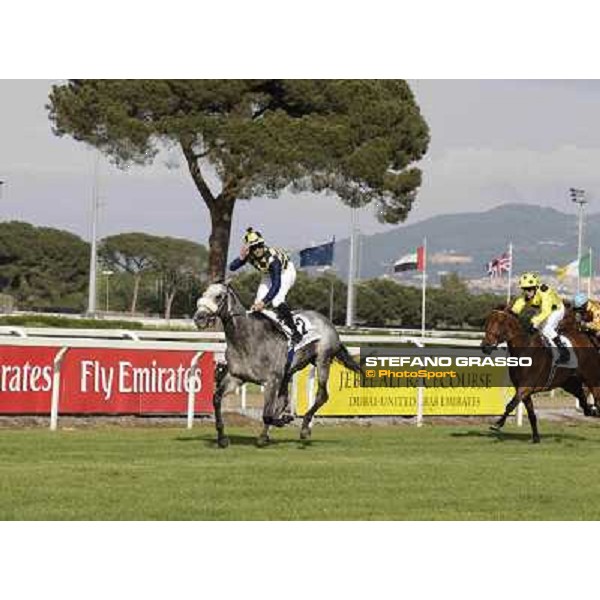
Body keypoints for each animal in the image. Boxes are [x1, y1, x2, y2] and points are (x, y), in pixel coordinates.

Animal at [193, 282, 360, 446]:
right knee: (284, 400)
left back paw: (304, 428)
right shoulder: (236, 377)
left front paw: (285, 419)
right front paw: (222, 438)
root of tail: (327, 322)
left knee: (322, 395)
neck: (247, 339)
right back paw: (266, 434)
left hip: (322, 359)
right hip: (288, 372)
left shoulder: (271, 380)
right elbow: (216, 398)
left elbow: (267, 415)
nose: (199, 318)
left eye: (218, 296)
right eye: (203, 294)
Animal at [480, 310, 600, 440]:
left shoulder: (526, 387)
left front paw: (497, 424)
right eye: (486, 324)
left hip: (591, 378)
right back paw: (592, 411)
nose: (485, 346)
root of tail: (587, 338)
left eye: (499, 324)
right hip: (569, 383)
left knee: (596, 398)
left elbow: (511, 404)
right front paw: (536, 438)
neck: (524, 350)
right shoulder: (522, 389)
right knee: (583, 399)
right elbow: (531, 413)